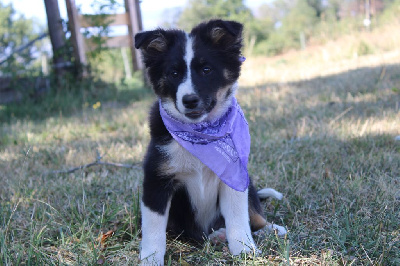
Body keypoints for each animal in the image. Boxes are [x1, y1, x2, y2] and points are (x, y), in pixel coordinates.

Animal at [136, 19, 286, 264]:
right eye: (174, 73)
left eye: (206, 70)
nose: (189, 100)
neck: (201, 134)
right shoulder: (156, 181)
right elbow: (154, 228)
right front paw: (150, 258)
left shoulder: (233, 176)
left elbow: (238, 218)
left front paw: (244, 250)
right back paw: (218, 236)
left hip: (248, 181)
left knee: (254, 212)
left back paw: (268, 228)